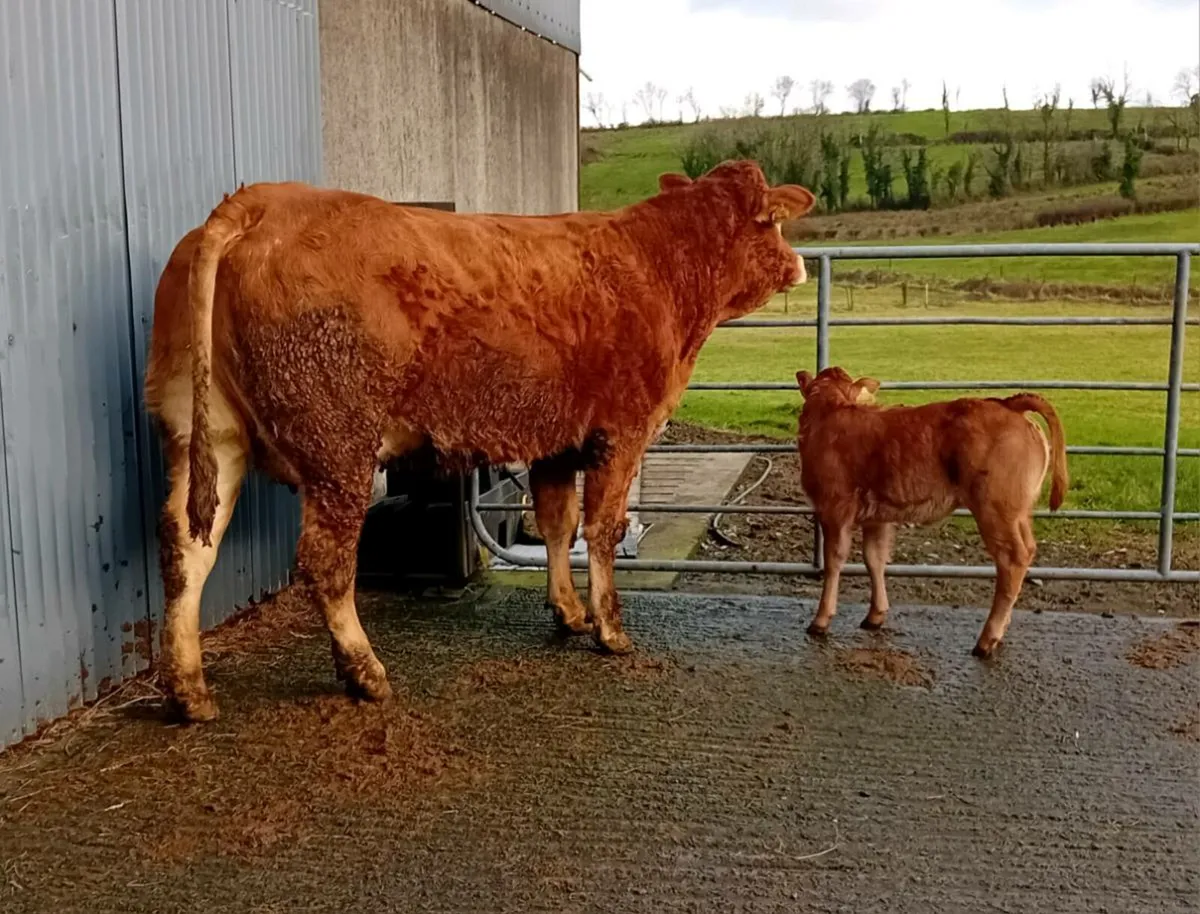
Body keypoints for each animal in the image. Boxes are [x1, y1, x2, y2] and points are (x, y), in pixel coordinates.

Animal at [144, 160, 816, 722]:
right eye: (774, 220)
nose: (800, 264)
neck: (659, 266)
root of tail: (260, 201)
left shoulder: (555, 442)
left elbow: (556, 524)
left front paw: (568, 612)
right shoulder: (622, 434)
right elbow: (601, 530)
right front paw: (609, 629)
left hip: (204, 432)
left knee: (186, 547)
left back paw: (189, 689)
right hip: (340, 448)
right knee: (325, 561)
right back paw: (364, 671)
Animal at [793, 367, 1069, 657]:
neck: (829, 412)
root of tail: (1008, 403)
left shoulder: (834, 507)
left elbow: (834, 561)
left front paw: (821, 620)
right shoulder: (877, 516)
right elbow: (874, 558)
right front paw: (876, 614)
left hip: (995, 509)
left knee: (1012, 559)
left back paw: (987, 639)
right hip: (1018, 513)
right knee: (1028, 550)